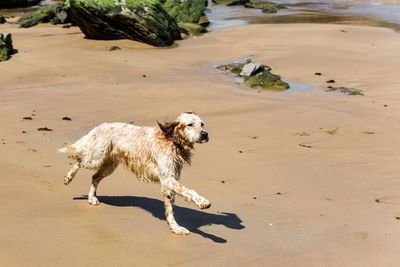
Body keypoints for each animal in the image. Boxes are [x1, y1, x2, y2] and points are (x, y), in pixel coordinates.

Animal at [59, 112, 211, 236]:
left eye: (202, 124)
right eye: (190, 124)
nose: (205, 134)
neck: (172, 141)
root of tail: (100, 126)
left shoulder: (169, 184)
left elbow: (170, 211)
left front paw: (176, 228)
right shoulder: (168, 179)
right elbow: (189, 191)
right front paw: (202, 202)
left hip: (109, 165)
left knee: (95, 177)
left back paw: (92, 198)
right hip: (95, 158)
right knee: (78, 161)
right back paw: (68, 178)